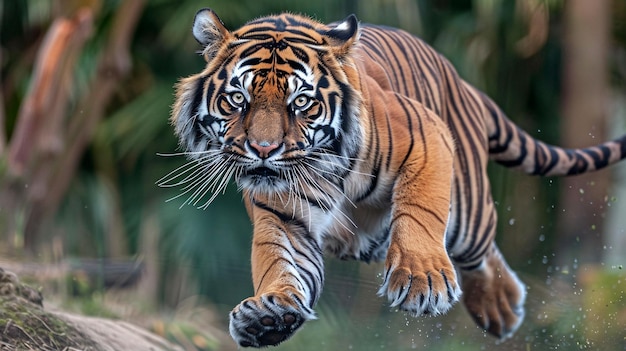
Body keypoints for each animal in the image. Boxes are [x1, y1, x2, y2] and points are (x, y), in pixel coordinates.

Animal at [165, 8, 624, 350]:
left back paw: (501, 309)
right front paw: (266, 314)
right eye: (237, 98)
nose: (263, 150)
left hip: (468, 215)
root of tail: (463, 82)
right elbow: (280, 263)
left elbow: (420, 212)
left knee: (480, 250)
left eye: (301, 103)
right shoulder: (285, 217)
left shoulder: (425, 136)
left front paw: (423, 282)